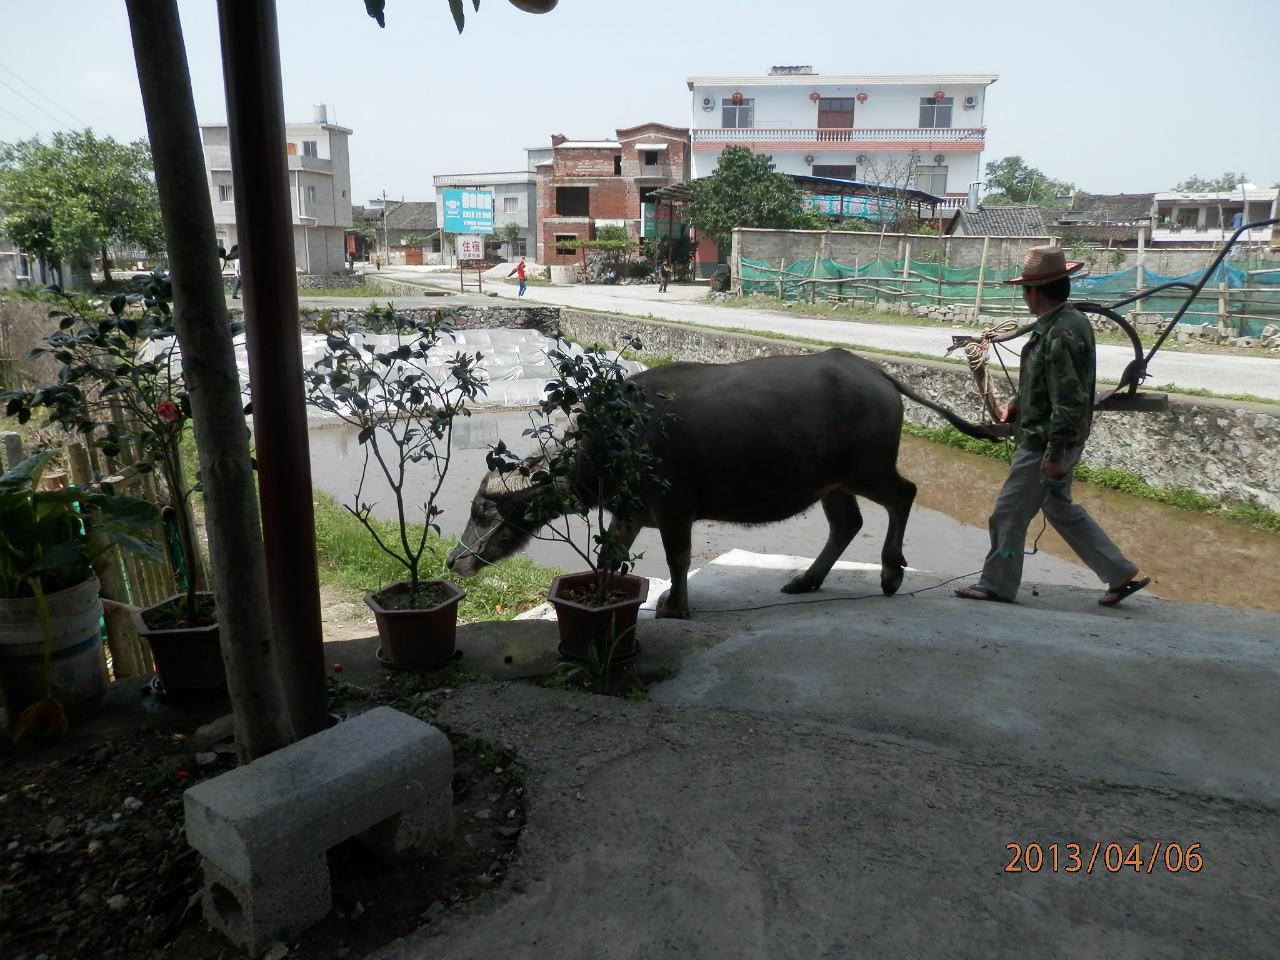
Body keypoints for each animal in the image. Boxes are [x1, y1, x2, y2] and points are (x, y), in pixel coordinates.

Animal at [447, 349, 998, 618]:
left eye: (482, 509)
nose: (455, 561)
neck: (617, 438)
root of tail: (879, 375)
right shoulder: (633, 511)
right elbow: (608, 557)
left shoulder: (674, 509)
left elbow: (678, 559)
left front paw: (677, 607)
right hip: (831, 483)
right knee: (847, 522)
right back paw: (805, 580)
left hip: (869, 469)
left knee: (904, 496)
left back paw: (890, 573)